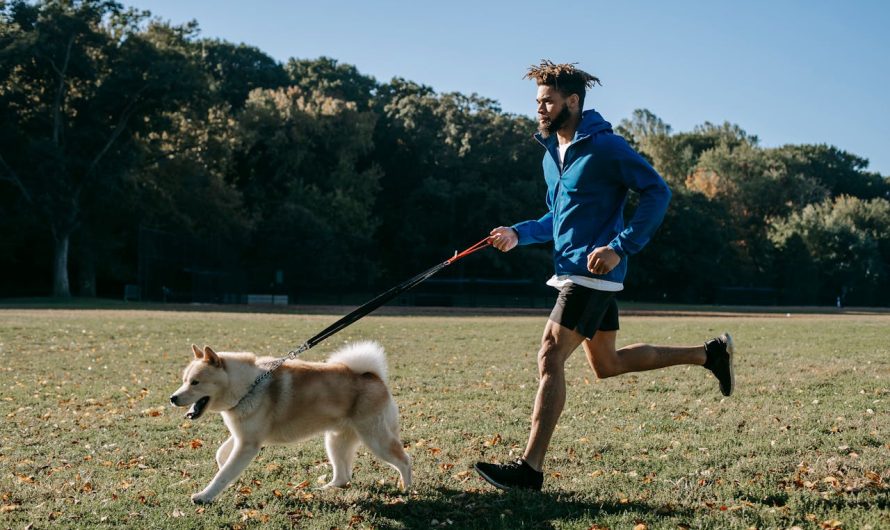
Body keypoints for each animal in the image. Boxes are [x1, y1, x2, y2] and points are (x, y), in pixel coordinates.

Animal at [168, 340, 412, 502]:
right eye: (184, 380)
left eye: (195, 382)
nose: (173, 398)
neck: (248, 386)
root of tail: (374, 376)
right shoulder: (243, 437)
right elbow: (221, 456)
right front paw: (224, 470)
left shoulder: (248, 445)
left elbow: (223, 475)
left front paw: (204, 496)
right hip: (336, 442)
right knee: (343, 476)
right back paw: (326, 489)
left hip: (376, 439)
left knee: (405, 460)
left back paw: (407, 490)